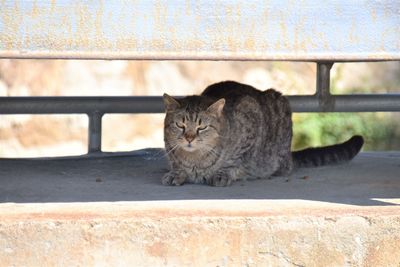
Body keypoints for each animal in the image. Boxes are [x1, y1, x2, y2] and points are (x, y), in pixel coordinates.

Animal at [161, 80, 364, 187]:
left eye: (201, 127)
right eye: (180, 125)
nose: (189, 138)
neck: (195, 160)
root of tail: (290, 157)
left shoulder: (250, 120)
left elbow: (236, 161)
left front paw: (224, 172)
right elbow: (176, 164)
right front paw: (177, 172)